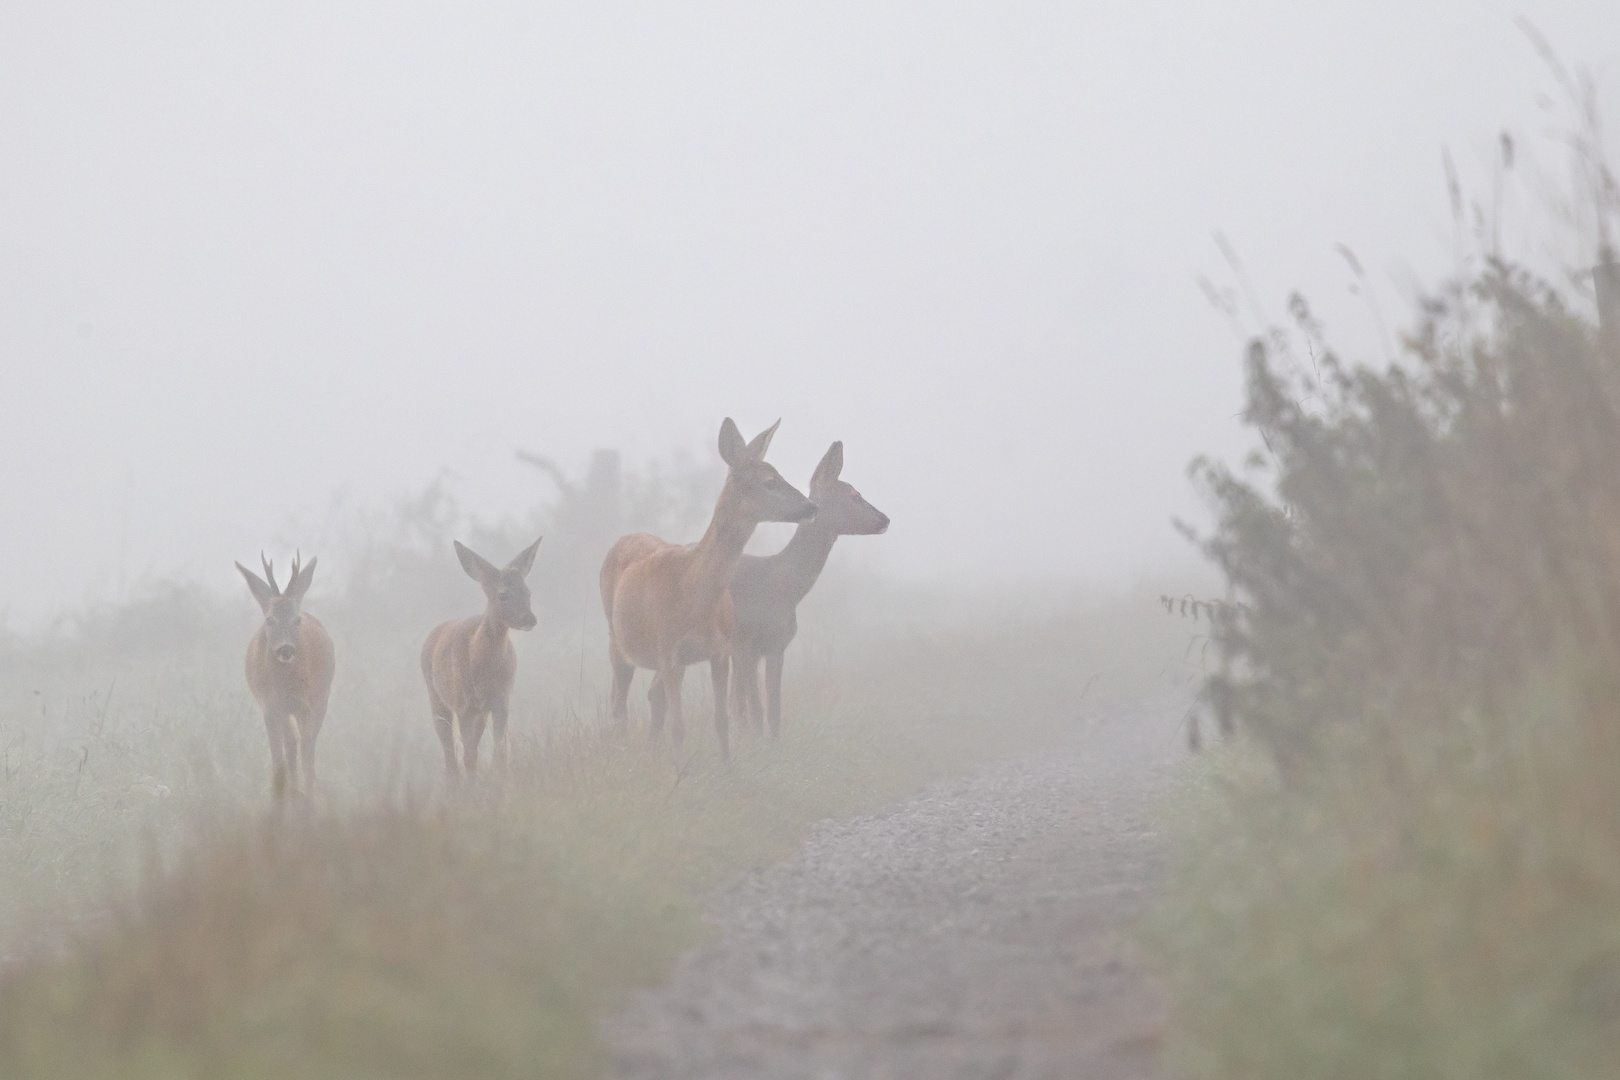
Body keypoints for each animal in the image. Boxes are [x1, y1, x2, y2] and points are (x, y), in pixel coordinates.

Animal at [236, 553, 333, 799]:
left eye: (297, 619)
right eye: (269, 619)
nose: (286, 649)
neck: (283, 684)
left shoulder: (306, 703)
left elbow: (306, 748)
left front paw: (310, 794)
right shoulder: (269, 706)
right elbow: (278, 754)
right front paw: (280, 795)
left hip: (321, 697)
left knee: (307, 743)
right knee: (291, 743)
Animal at [421, 537, 541, 777]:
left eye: (528, 592)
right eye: (503, 595)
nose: (529, 619)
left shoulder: (501, 700)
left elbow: (500, 752)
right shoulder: (464, 704)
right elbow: (468, 756)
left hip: (479, 712)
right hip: (437, 697)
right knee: (450, 752)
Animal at [602, 417, 816, 764]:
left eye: (779, 473)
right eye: (770, 482)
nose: (812, 505)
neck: (694, 590)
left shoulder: (720, 650)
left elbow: (722, 720)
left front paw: (727, 769)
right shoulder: (669, 650)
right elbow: (679, 727)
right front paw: (681, 773)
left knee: (650, 698)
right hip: (617, 638)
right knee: (618, 705)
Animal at [732, 443, 894, 738]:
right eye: (854, 495)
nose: (885, 519)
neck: (780, 587)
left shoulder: (776, 646)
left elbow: (773, 712)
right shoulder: (746, 645)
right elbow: (758, 712)